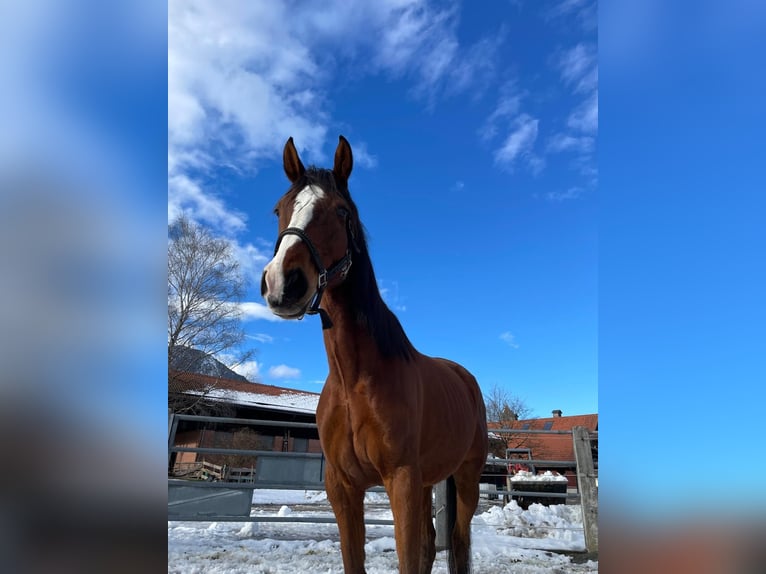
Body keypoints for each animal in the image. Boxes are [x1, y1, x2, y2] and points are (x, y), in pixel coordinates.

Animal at [261, 135, 488, 574]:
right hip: (429, 480)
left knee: (457, 539)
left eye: (341, 210)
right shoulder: (343, 487)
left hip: (467, 477)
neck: (355, 381)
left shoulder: (400, 480)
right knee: (430, 544)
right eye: (279, 209)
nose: (282, 282)